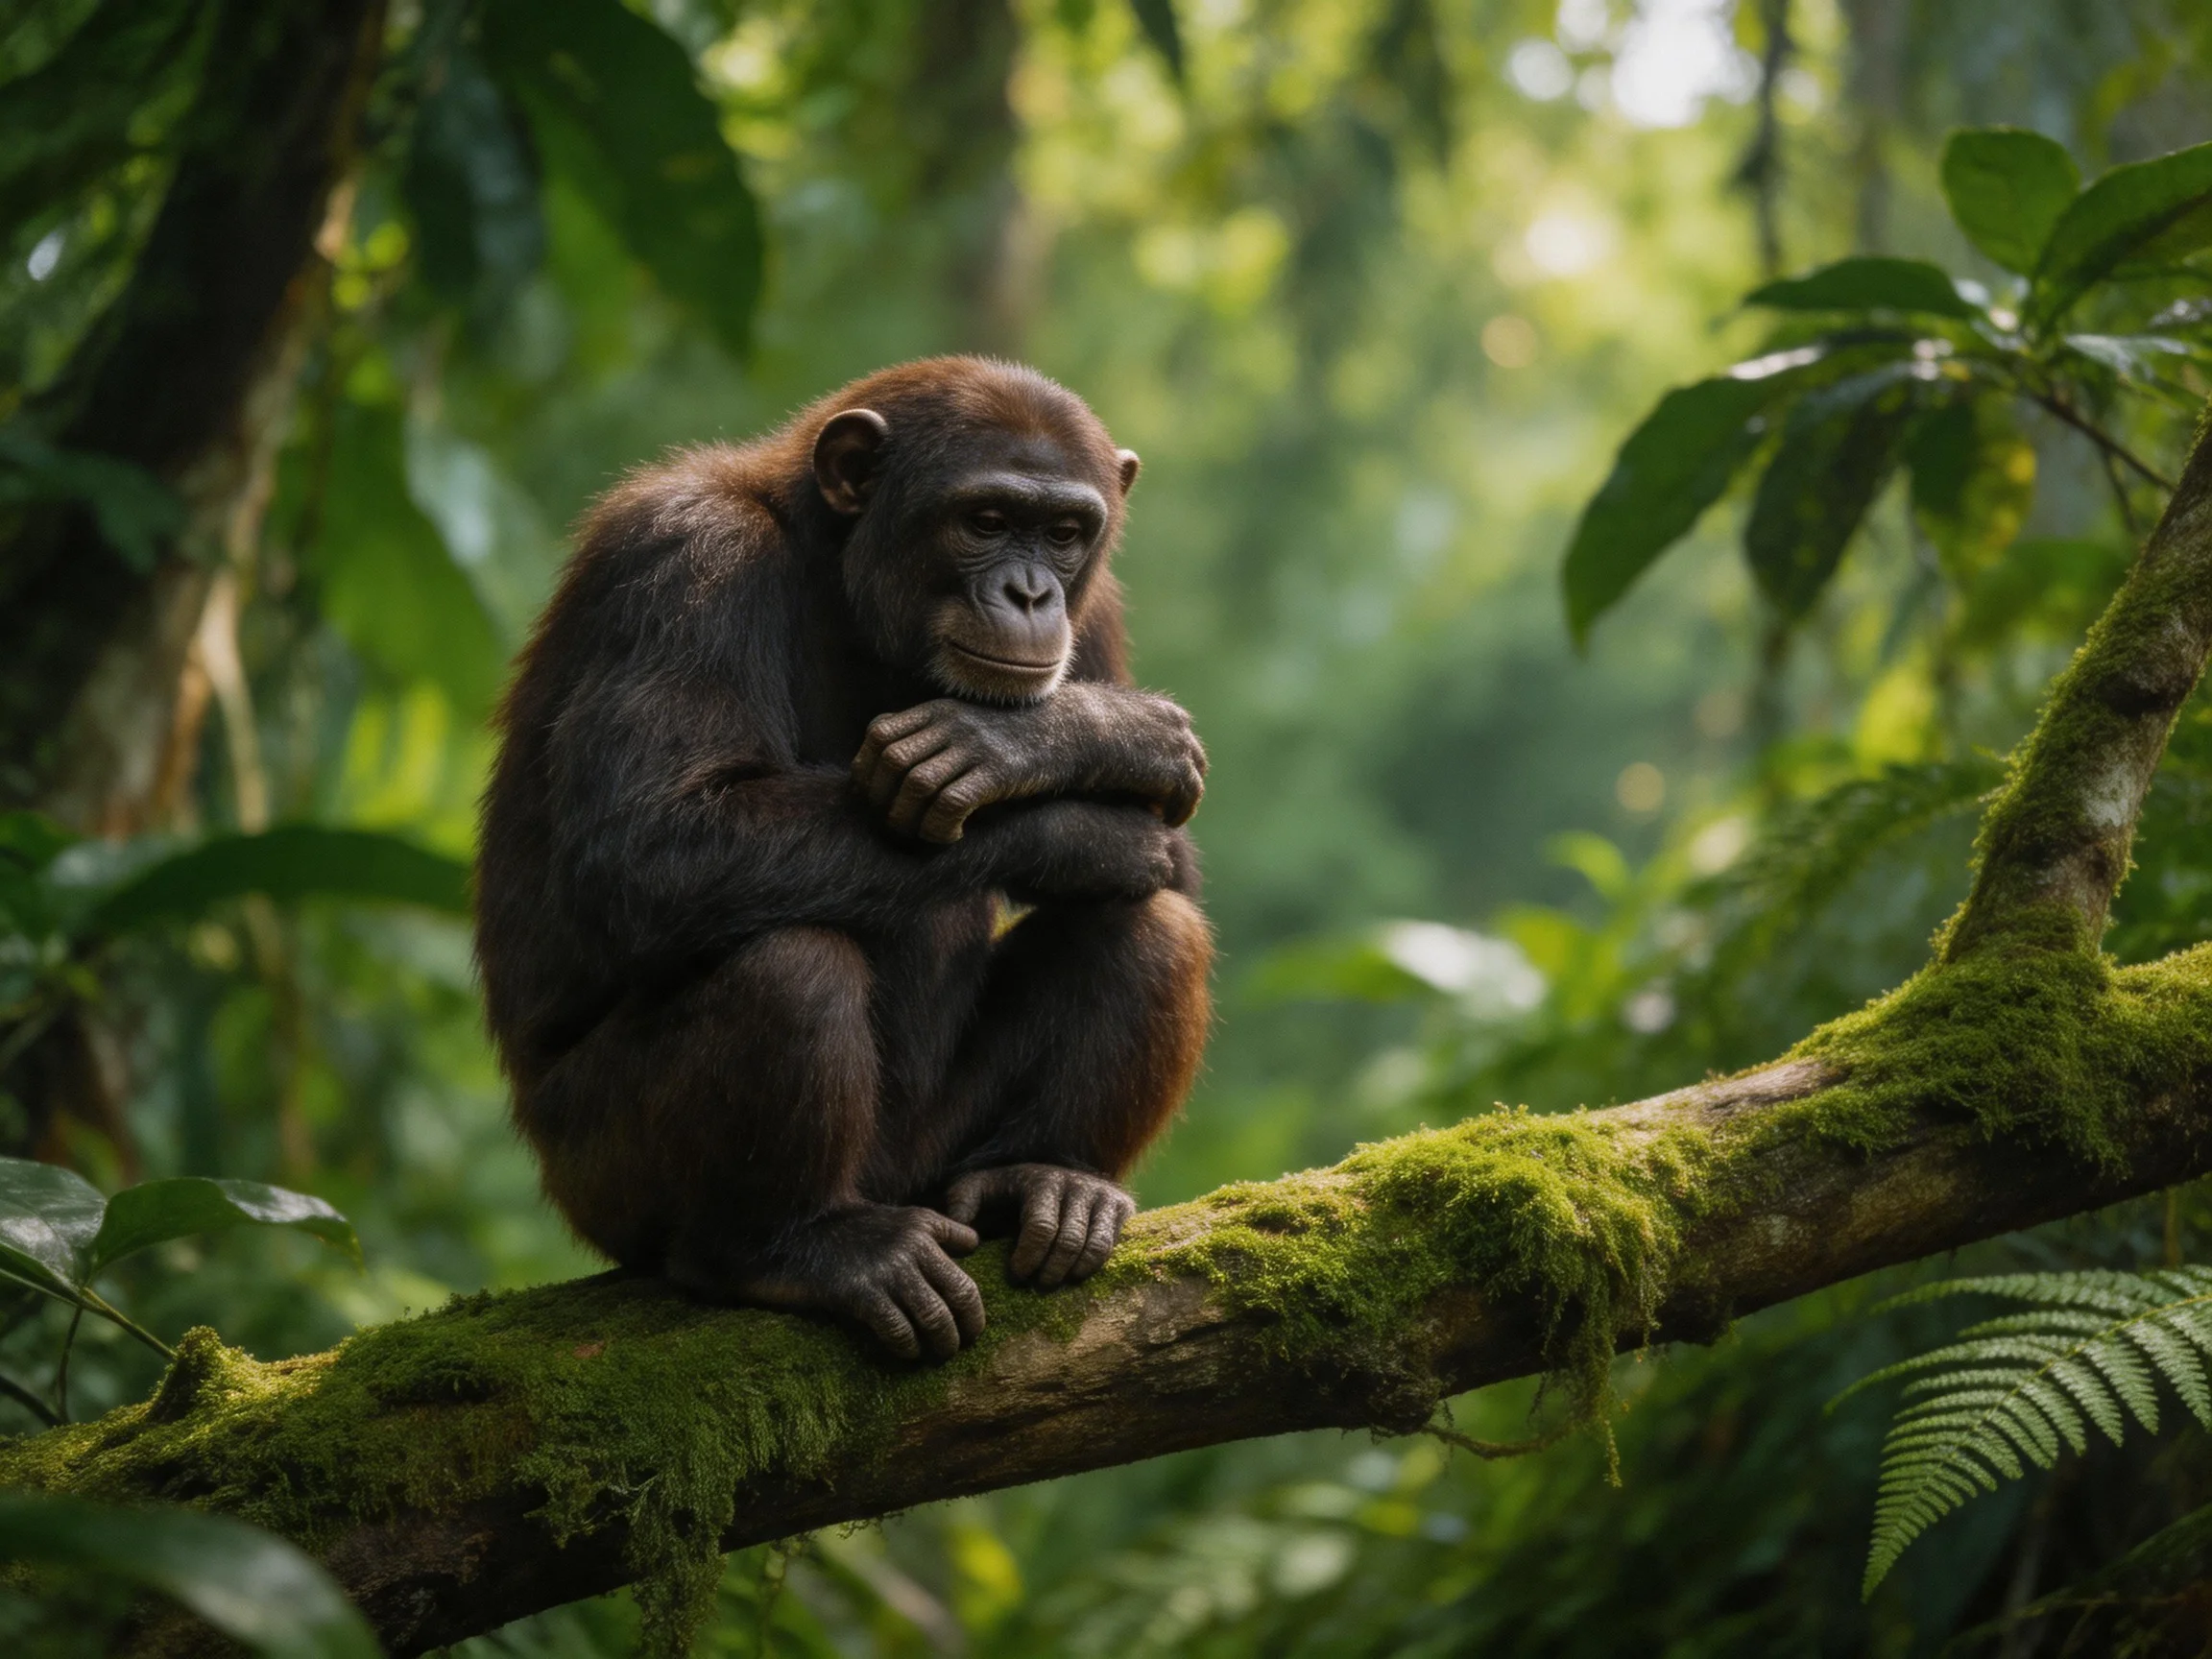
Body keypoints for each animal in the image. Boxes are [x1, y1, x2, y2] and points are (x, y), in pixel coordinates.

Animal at [474, 357, 1213, 1361]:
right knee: (789, 966)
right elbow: (653, 844)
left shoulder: (1095, 612)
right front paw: (1081, 790)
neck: (841, 580)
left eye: (1064, 534)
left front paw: (1055, 739)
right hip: (599, 1177)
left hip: (936, 1161)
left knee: (1150, 925)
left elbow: (1176, 869)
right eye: (986, 520)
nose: (1031, 595)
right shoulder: (683, 561)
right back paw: (796, 1249)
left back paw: (1047, 1177)